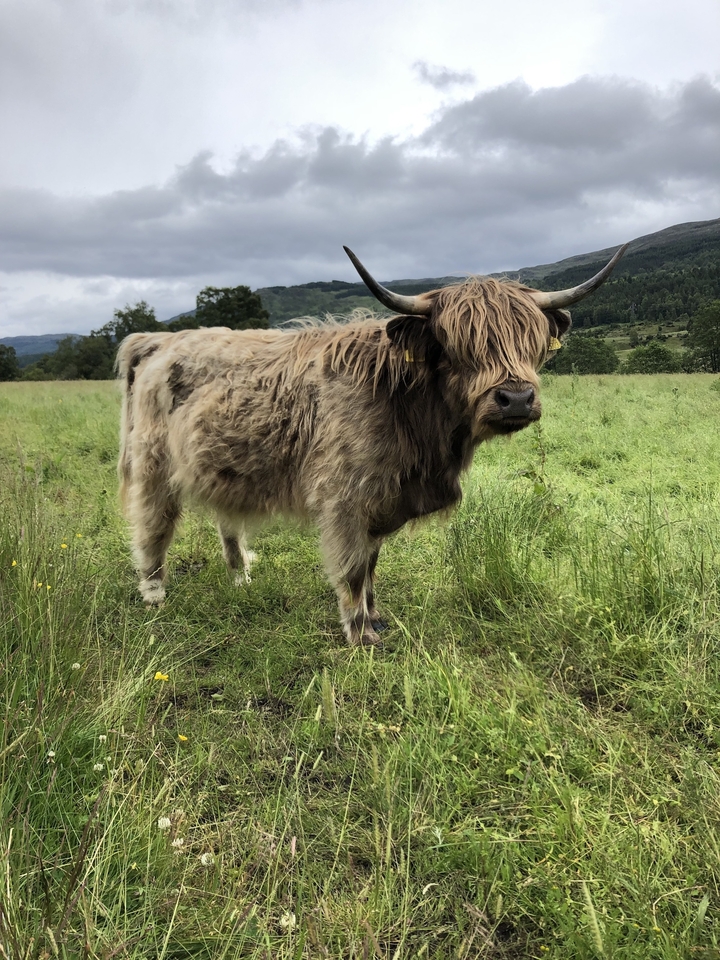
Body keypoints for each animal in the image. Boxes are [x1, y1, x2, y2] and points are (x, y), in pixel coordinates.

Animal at [117, 243, 627, 645]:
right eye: (457, 346)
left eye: (532, 341)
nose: (517, 398)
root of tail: (160, 339)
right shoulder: (345, 496)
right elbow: (352, 567)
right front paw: (360, 633)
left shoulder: (384, 496)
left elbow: (373, 562)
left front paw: (377, 618)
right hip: (153, 463)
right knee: (153, 526)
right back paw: (154, 593)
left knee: (226, 521)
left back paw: (241, 575)